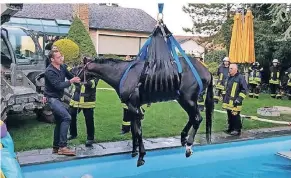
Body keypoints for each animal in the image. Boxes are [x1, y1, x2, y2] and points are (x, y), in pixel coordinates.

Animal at [76, 56, 216, 168]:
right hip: (183, 99)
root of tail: (207, 71)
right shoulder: (133, 108)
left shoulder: (134, 107)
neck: (123, 74)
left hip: (188, 99)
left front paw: (141, 156)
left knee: (197, 118)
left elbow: (138, 132)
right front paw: (134, 151)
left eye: (79, 67)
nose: (75, 79)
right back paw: (183, 137)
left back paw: (189, 146)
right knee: (193, 118)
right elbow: (134, 130)